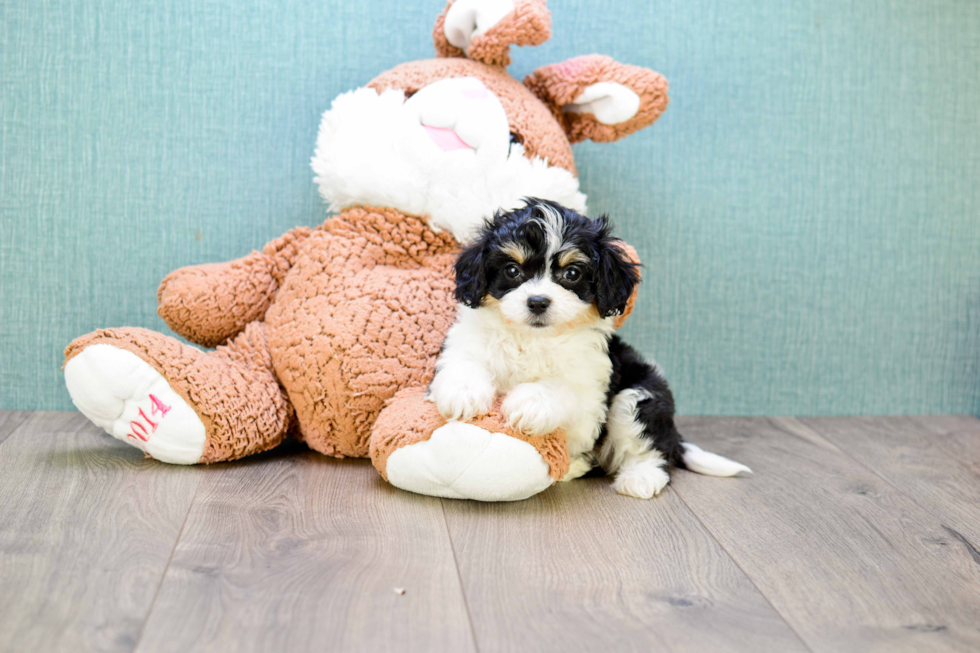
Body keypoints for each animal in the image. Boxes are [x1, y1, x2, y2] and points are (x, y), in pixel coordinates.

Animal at [428, 196, 752, 496]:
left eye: (572, 273)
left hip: (639, 397)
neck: (532, 338)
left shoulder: (590, 381)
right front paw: (463, 394)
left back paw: (639, 477)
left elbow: (561, 388)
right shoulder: (467, 341)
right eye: (511, 270)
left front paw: (530, 404)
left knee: (651, 447)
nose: (537, 302)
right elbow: (464, 363)